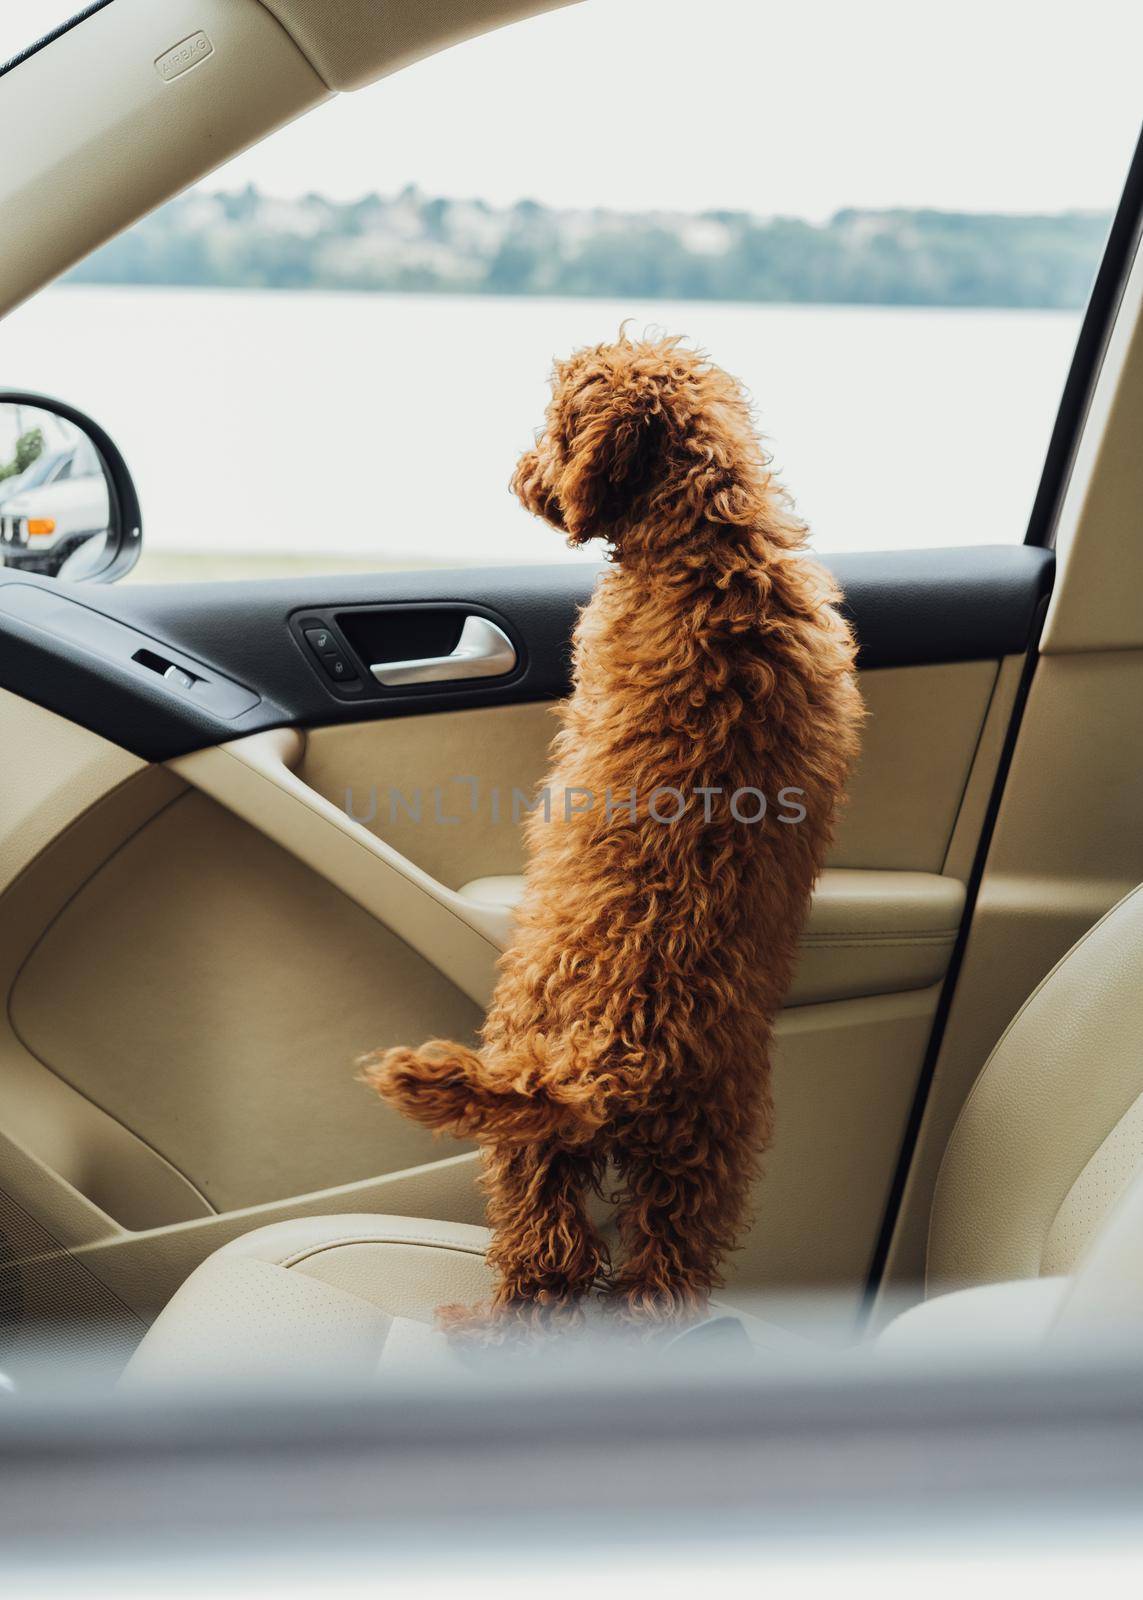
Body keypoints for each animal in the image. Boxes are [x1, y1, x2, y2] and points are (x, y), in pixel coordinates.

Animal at [360, 334, 858, 1337]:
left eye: (552, 429)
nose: (517, 473)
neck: (714, 543)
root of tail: (618, 1056)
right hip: (701, 1158)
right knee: (660, 1279)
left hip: (529, 1137)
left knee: (548, 1262)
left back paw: (476, 1322)